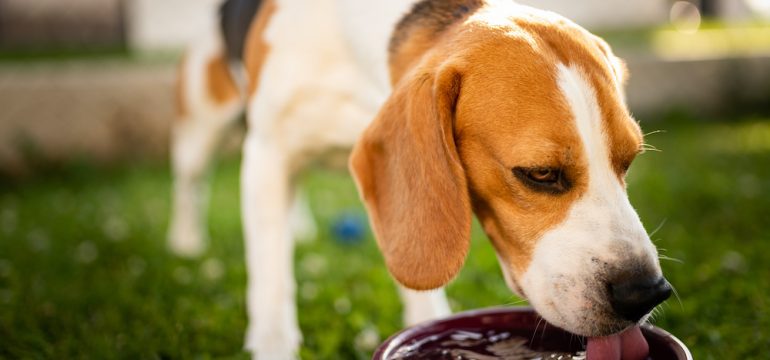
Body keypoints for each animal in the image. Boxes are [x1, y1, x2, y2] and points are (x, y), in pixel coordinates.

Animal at [166, 0, 664, 358]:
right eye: (540, 174)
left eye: (628, 162)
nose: (647, 293)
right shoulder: (267, 153)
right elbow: (271, 282)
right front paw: (273, 343)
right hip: (204, 125)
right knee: (190, 182)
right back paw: (186, 241)